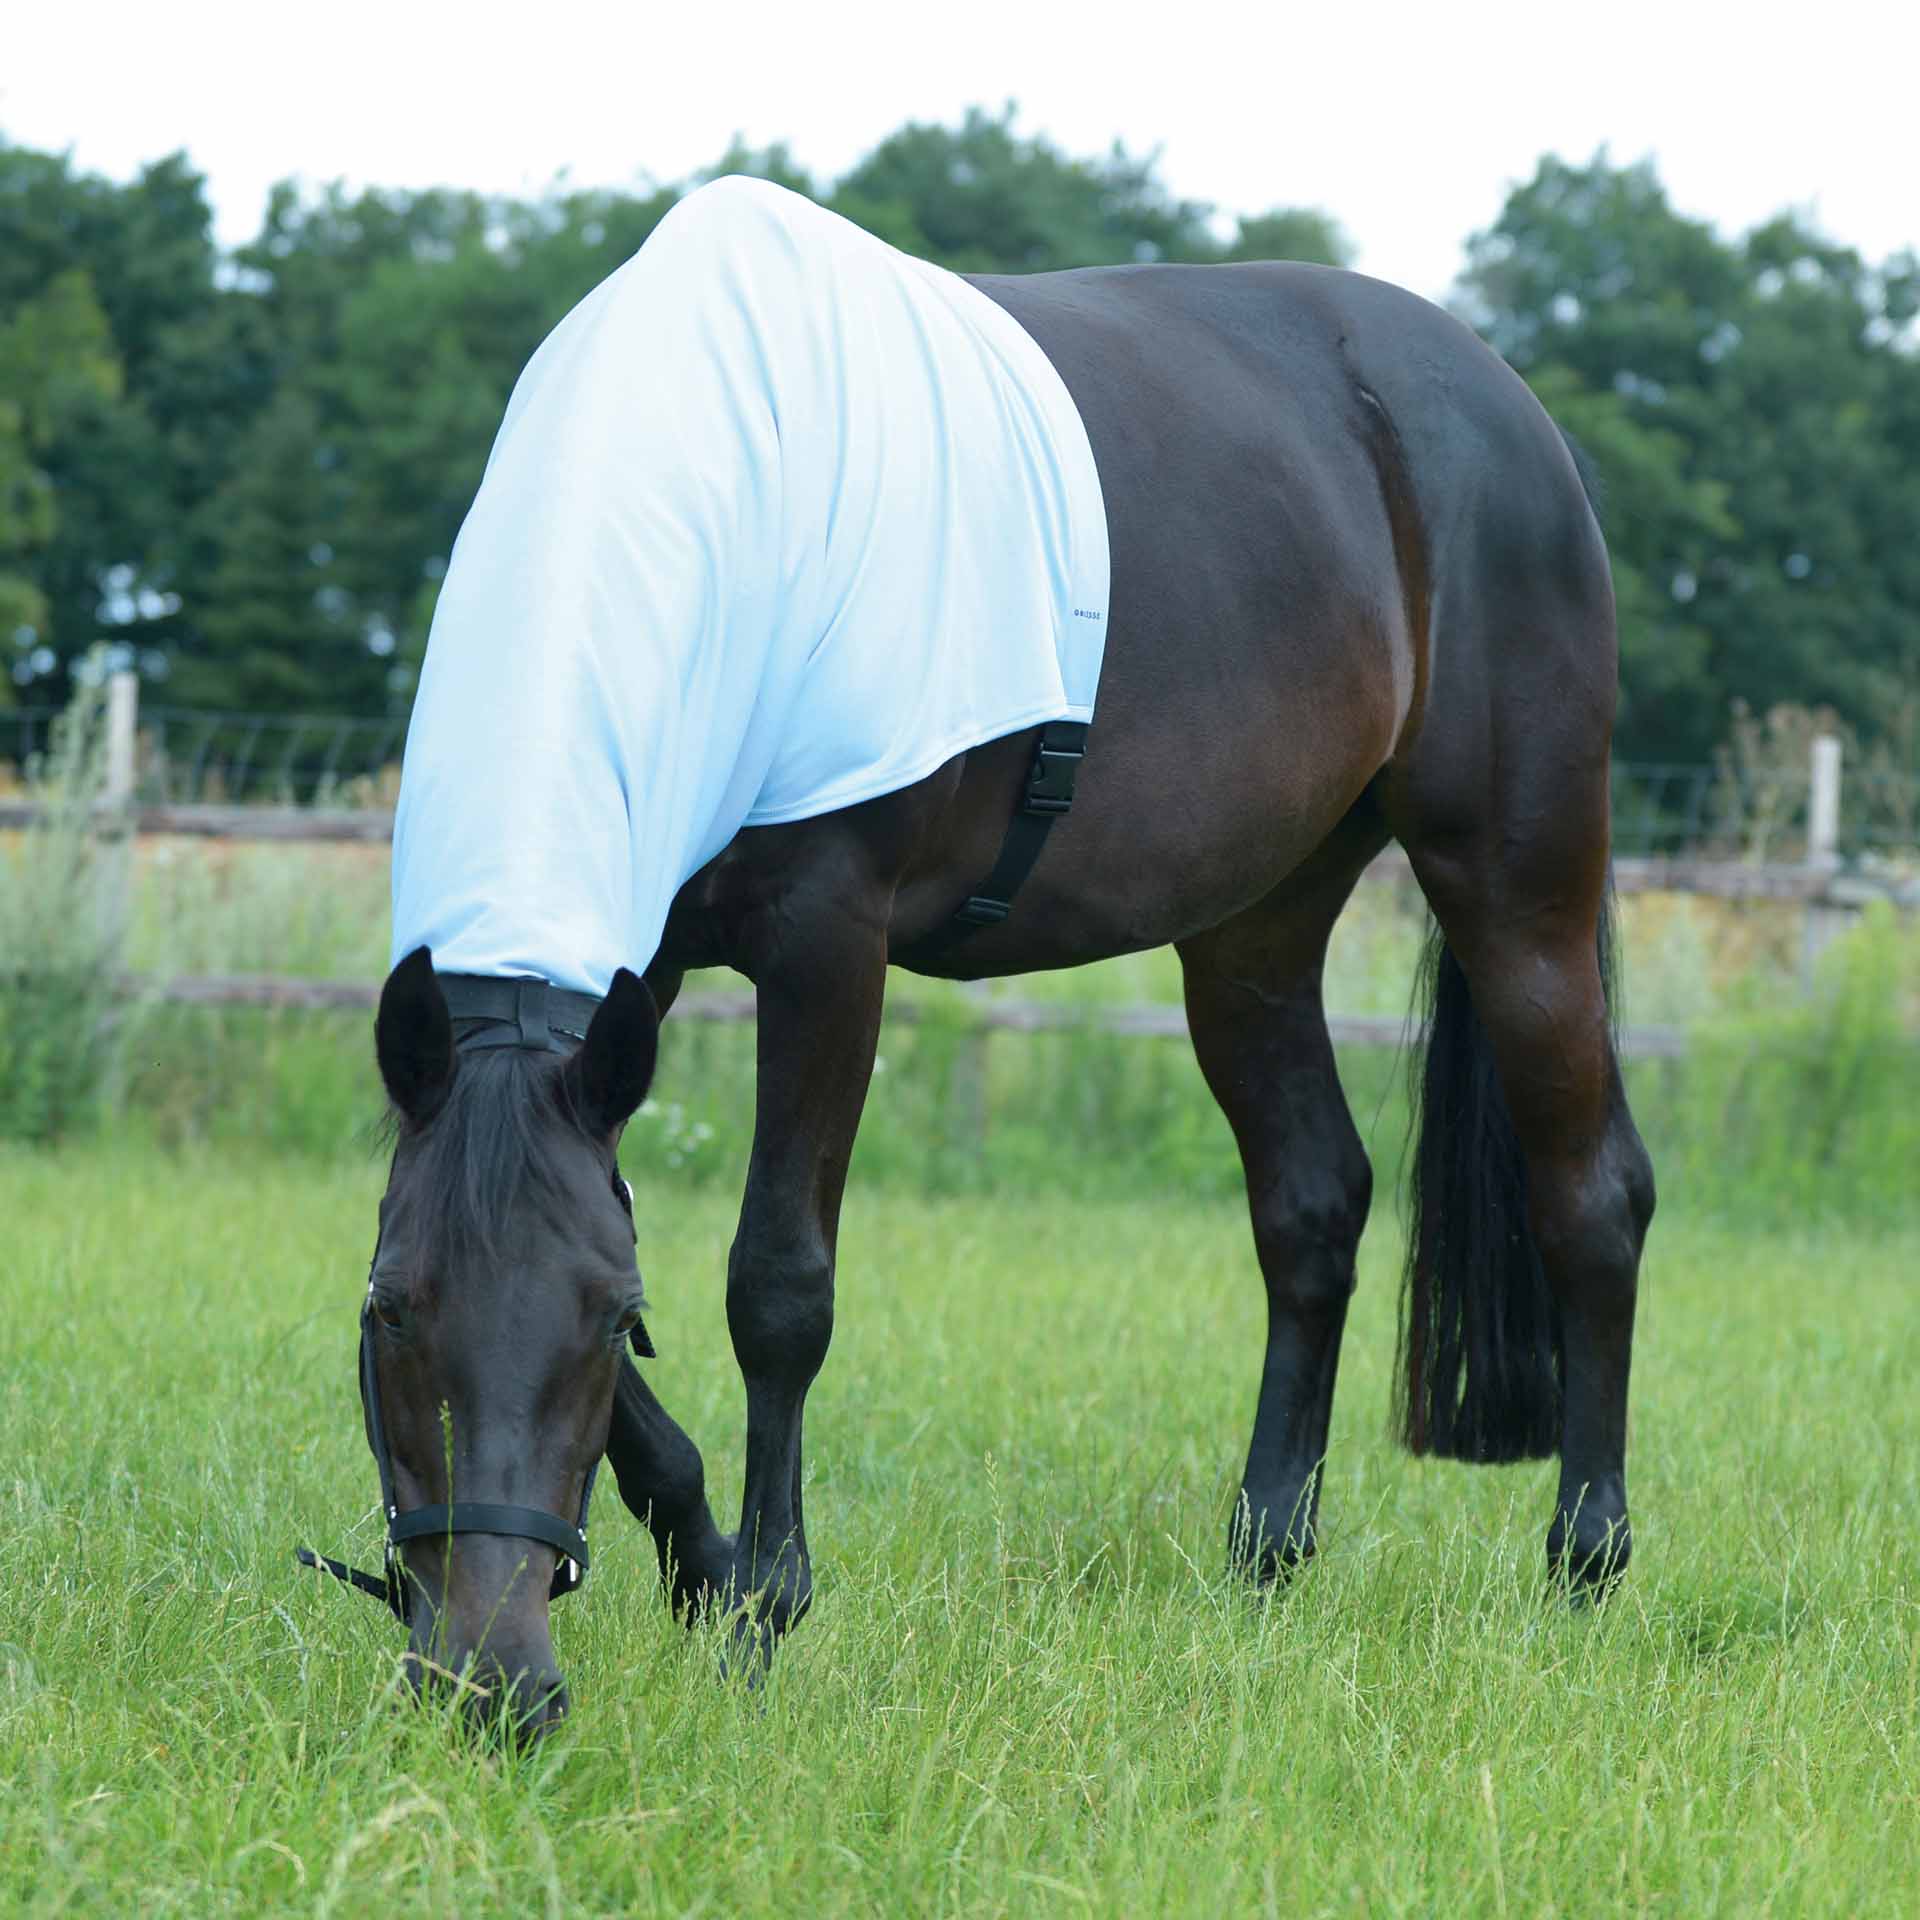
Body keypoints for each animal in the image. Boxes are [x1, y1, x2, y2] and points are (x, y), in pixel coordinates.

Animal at [321, 181, 1655, 1735]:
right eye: (391, 1312)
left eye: (602, 1328)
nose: (489, 1683)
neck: (706, 497)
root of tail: (1513, 412)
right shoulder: (627, 986)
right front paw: (705, 1561)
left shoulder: (827, 946)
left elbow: (777, 1285)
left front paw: (765, 1611)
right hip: (1254, 928)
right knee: (1313, 1205)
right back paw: (1264, 1556)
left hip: (1516, 881)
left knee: (1592, 1195)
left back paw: (1584, 1565)